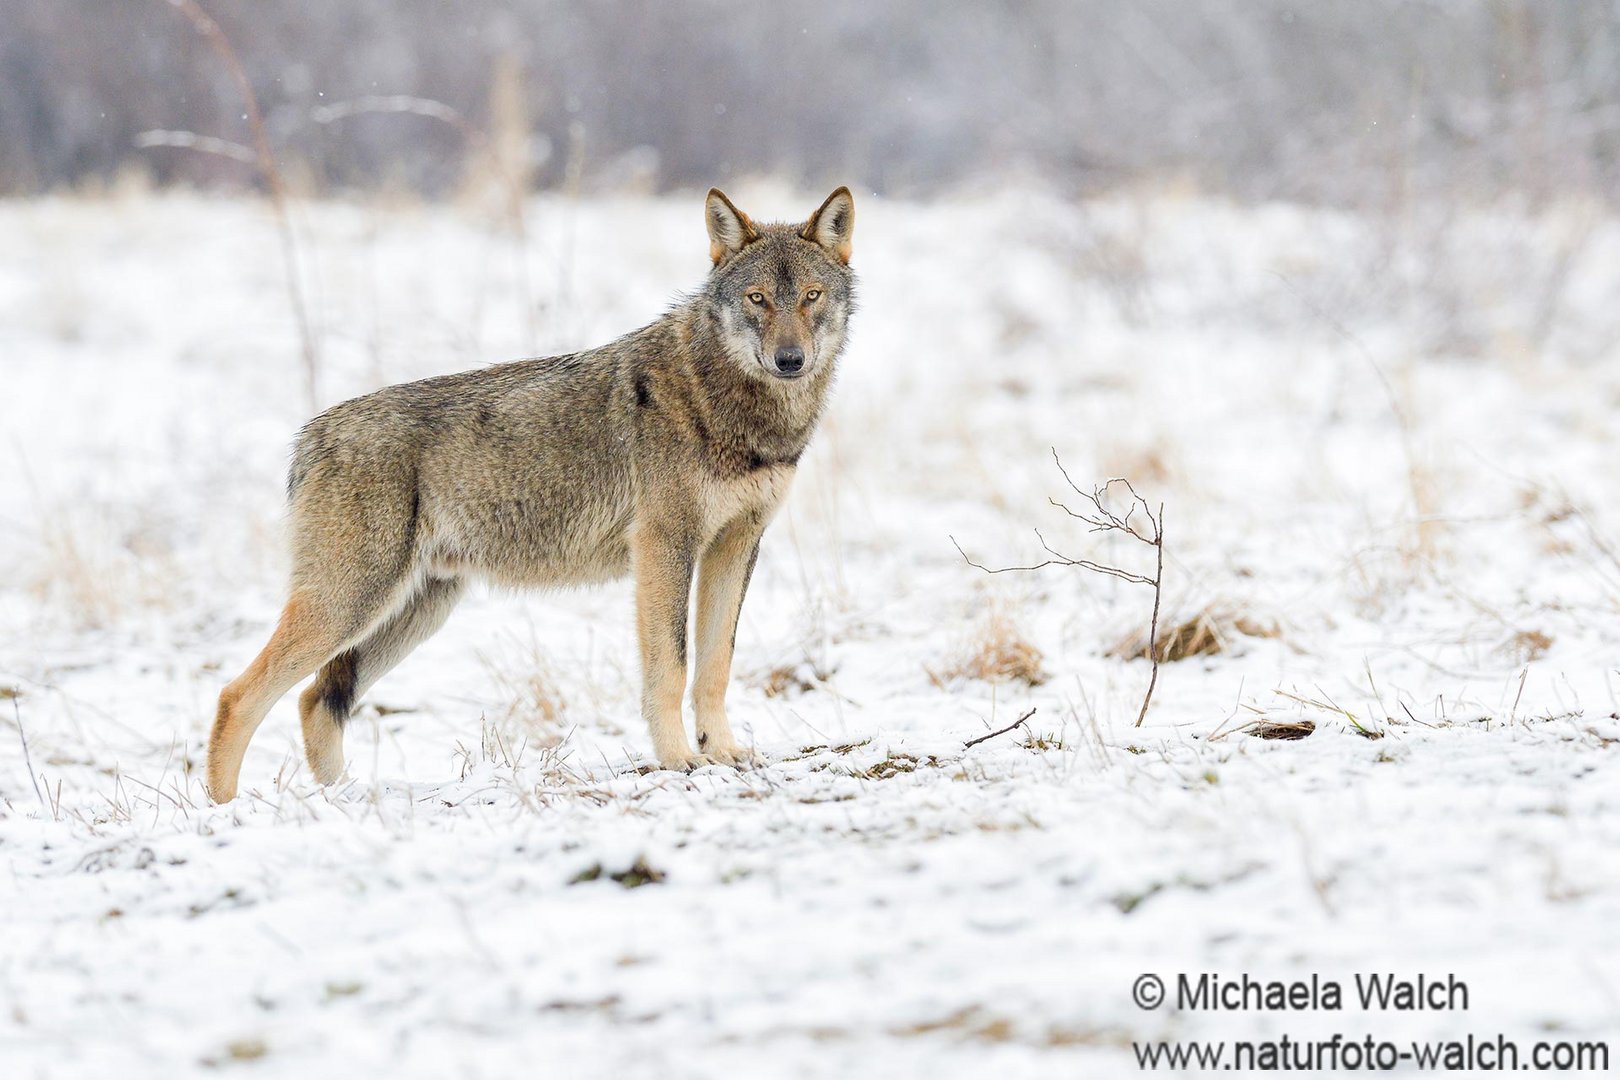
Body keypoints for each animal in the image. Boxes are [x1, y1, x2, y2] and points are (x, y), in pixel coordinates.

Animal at [208, 186, 855, 803]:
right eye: (757, 300)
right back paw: (224, 810)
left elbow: (716, 664)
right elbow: (670, 669)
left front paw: (724, 755)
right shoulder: (664, 548)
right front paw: (679, 762)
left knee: (316, 700)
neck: (737, 408)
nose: (790, 360)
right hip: (351, 604)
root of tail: (308, 436)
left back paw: (344, 799)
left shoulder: (735, 547)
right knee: (237, 695)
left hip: (413, 612)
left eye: (811, 296)